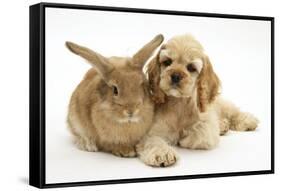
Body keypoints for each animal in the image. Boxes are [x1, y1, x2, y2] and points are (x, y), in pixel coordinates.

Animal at [136, 34, 258, 167]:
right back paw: (223, 125)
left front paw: (182, 137)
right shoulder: (151, 131)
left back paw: (247, 120)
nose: (175, 76)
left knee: (232, 111)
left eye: (191, 67)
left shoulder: (207, 128)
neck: (178, 104)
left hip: (219, 104)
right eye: (167, 62)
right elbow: (153, 140)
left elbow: (198, 133)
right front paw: (163, 153)